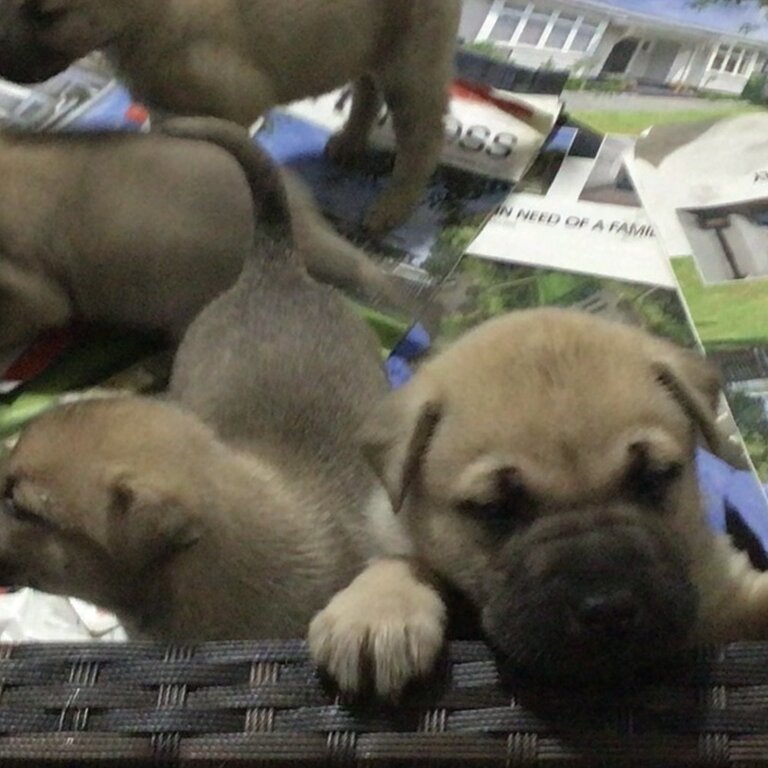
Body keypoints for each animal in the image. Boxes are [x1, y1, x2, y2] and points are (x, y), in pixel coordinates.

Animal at [0, 0, 462, 234]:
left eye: (46, 13)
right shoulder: (168, 112)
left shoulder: (233, 106)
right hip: (368, 44)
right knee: (366, 88)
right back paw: (350, 142)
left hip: (413, 60)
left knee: (424, 137)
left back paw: (392, 208)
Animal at [308, 308, 768, 688]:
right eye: (495, 508)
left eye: (653, 478)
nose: (608, 609)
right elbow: (401, 560)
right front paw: (377, 612)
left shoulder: (724, 594)